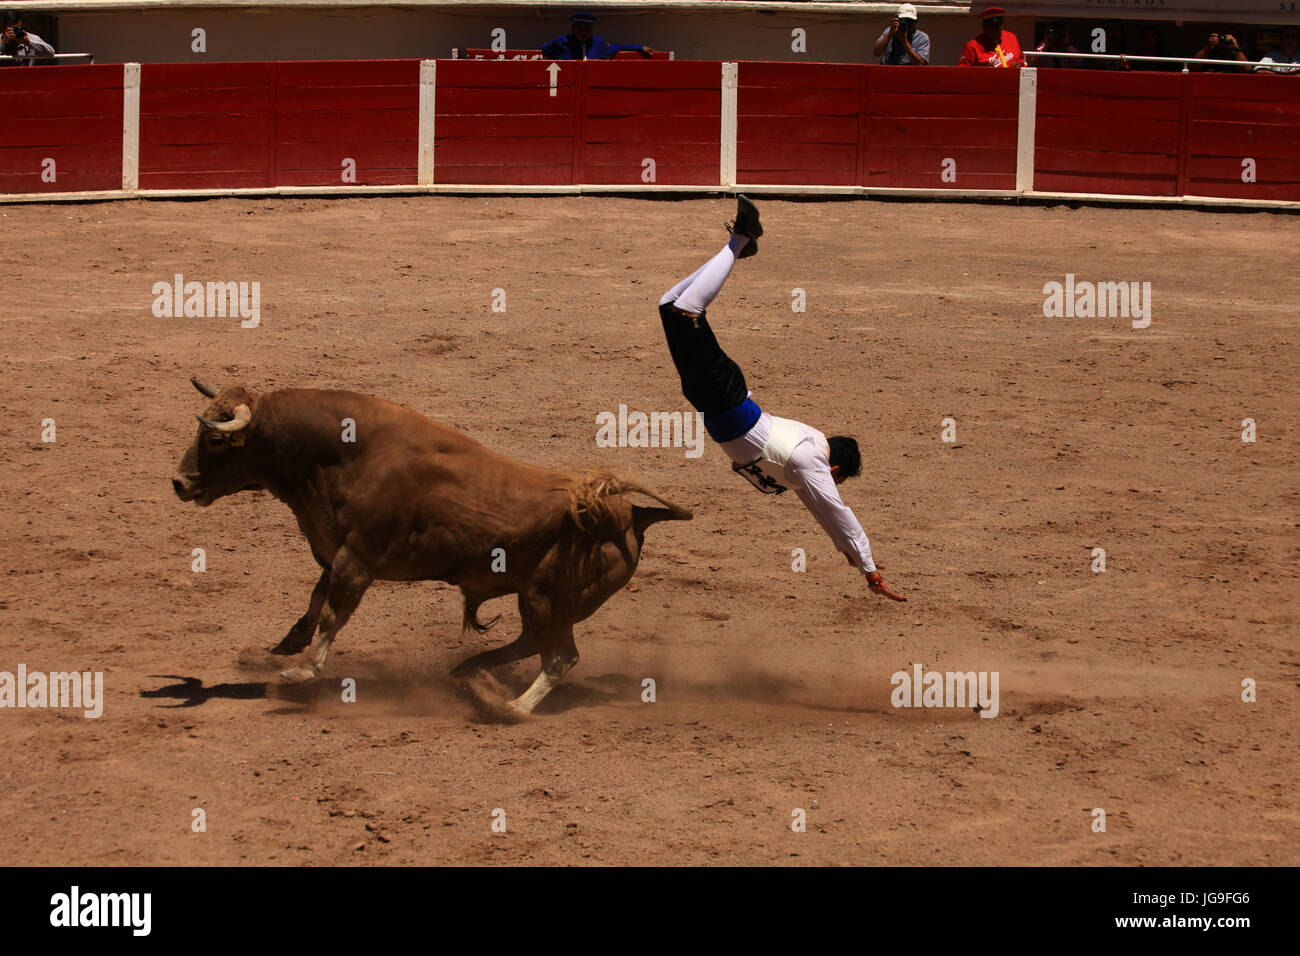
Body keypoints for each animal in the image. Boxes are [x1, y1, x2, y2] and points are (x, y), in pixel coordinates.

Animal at [172, 379, 691, 717]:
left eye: (215, 437)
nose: (179, 482)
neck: (342, 453)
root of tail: (627, 512)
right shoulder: (337, 552)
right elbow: (317, 598)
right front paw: (289, 643)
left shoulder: (357, 559)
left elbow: (333, 612)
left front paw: (303, 672)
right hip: (535, 599)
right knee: (532, 643)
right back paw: (470, 670)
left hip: (548, 598)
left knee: (560, 657)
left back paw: (507, 706)